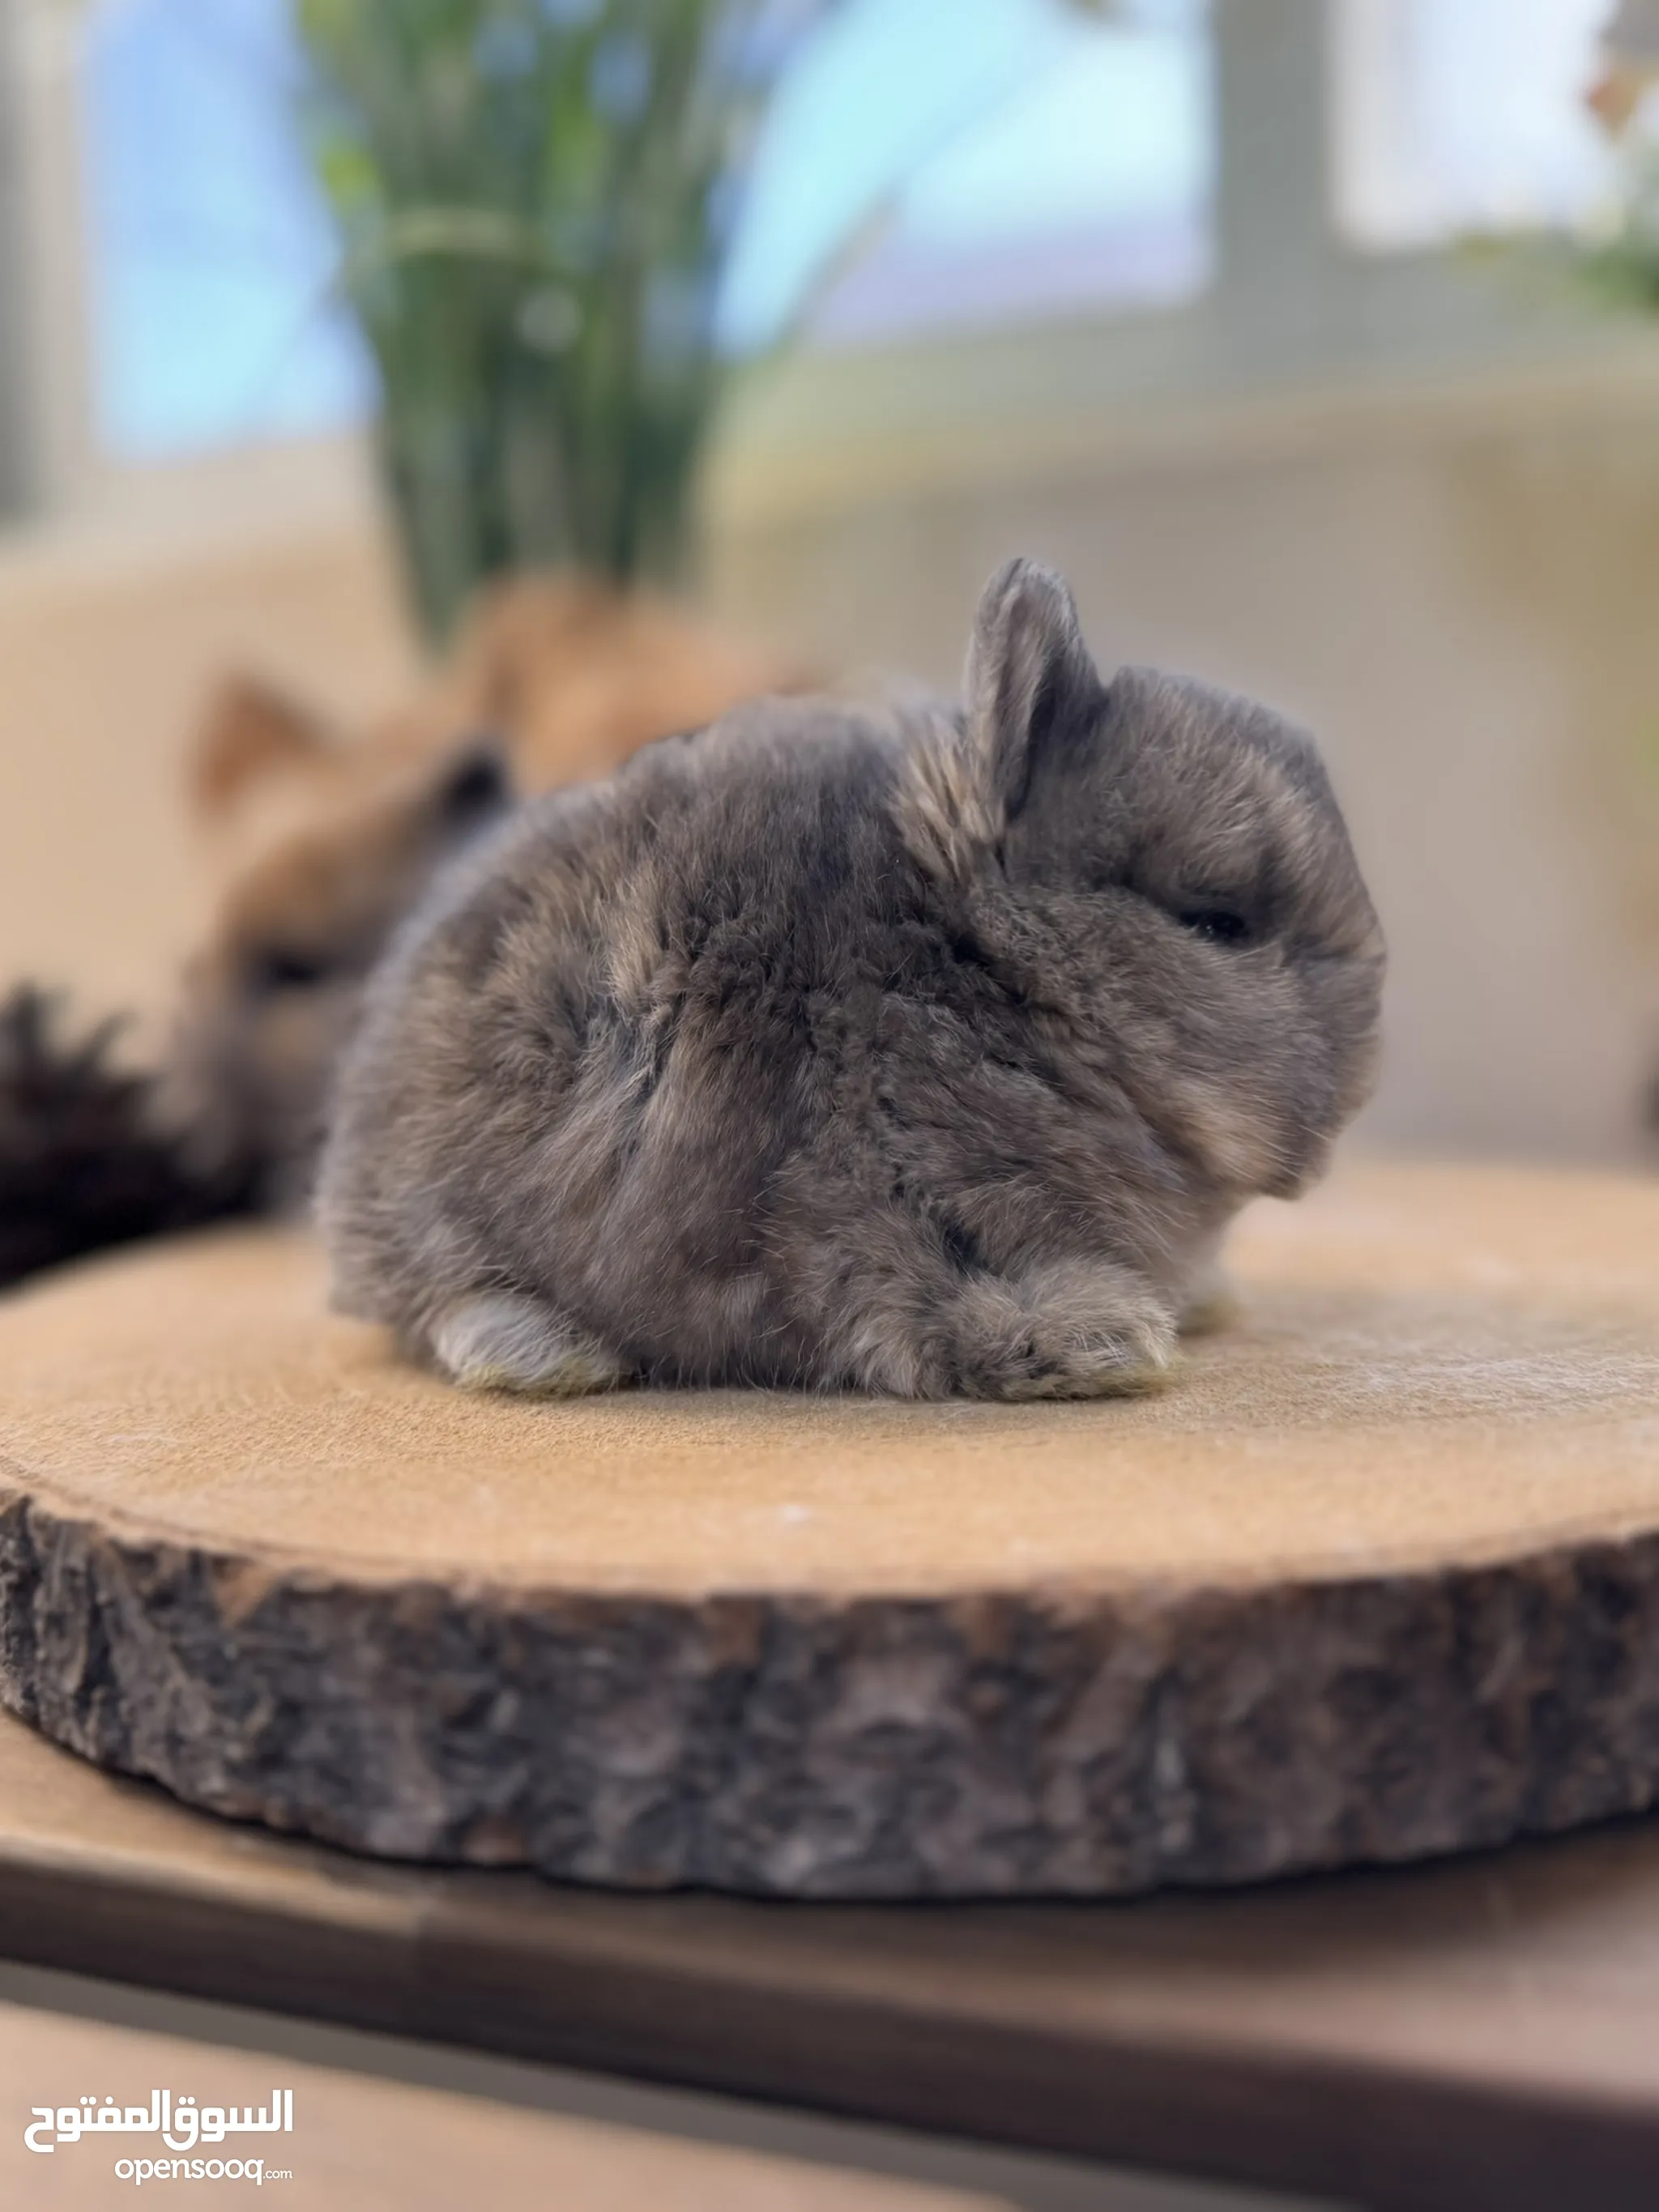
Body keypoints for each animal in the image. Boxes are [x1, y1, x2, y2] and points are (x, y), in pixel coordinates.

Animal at [318, 558, 1384, 1401]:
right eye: (1217, 922)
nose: (1354, 1091)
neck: (986, 977)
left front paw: (1193, 1302)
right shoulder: (885, 1209)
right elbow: (938, 1314)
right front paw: (1103, 1340)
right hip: (448, 1212)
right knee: (440, 1304)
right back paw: (547, 1353)